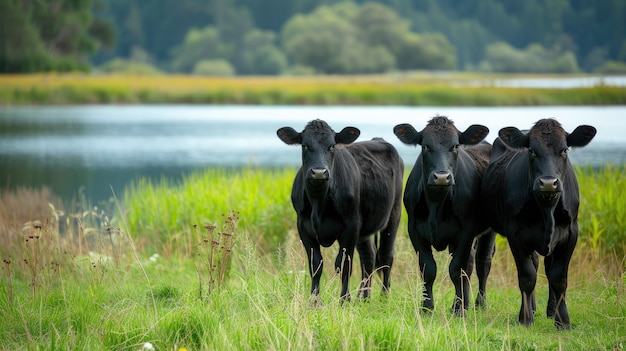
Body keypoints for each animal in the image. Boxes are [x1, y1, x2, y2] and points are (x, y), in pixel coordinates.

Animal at [276, 119, 402, 302]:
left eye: (332, 146)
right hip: (364, 231)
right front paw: (315, 302)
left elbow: (343, 264)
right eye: (305, 145)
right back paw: (363, 298)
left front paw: (344, 300)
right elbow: (316, 264)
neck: (318, 203)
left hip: (394, 214)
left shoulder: (351, 225)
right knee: (369, 256)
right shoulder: (303, 226)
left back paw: (384, 298)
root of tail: (378, 139)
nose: (319, 172)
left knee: (386, 256)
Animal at [392, 116, 494, 316]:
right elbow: (428, 269)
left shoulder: (466, 231)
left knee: (481, 263)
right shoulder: (414, 230)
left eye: (455, 146)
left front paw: (459, 310)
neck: (436, 205)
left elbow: (457, 269)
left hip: (488, 232)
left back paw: (479, 304)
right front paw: (427, 307)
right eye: (425, 146)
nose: (441, 177)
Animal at [482, 119, 596, 330]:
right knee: (534, 264)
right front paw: (525, 318)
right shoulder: (516, 234)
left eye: (565, 149)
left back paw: (551, 310)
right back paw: (533, 309)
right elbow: (527, 277)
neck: (547, 210)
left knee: (548, 267)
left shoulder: (571, 233)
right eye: (531, 151)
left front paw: (563, 321)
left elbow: (559, 277)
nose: (548, 183)